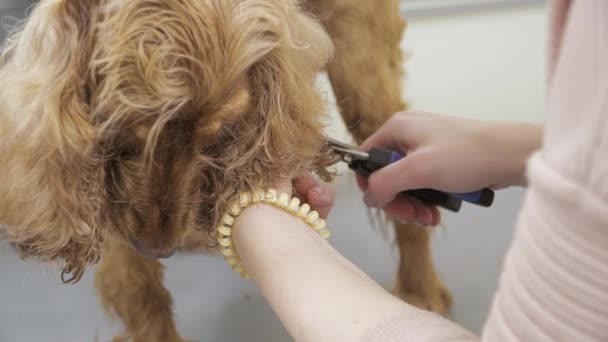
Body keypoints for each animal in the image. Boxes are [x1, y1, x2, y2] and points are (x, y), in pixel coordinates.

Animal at [0, 1, 452, 340]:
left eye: (219, 135)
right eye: (118, 133)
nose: (157, 248)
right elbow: (143, 295)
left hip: (364, 82)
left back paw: (420, 289)